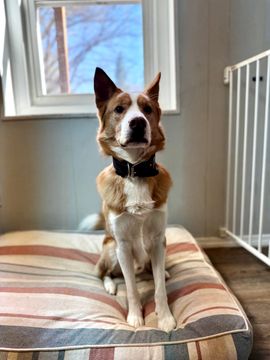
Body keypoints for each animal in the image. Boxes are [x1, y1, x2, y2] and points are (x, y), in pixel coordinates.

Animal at [91, 67, 175, 332]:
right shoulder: (123, 246)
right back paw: (110, 285)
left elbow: (159, 288)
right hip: (110, 248)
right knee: (105, 273)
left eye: (147, 109)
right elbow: (131, 288)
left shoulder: (158, 240)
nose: (137, 122)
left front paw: (165, 318)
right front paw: (136, 318)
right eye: (119, 109)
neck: (135, 170)